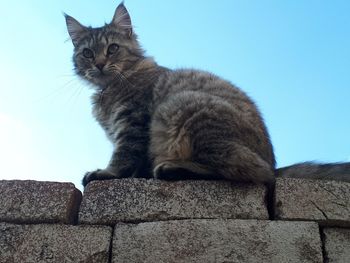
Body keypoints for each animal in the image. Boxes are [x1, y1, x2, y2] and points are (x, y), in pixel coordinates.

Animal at [64, 2, 348, 188]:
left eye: (112, 49)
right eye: (87, 53)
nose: (99, 64)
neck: (111, 87)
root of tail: (273, 163)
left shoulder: (134, 121)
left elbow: (123, 156)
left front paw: (107, 173)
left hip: (182, 106)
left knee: (250, 173)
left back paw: (173, 169)